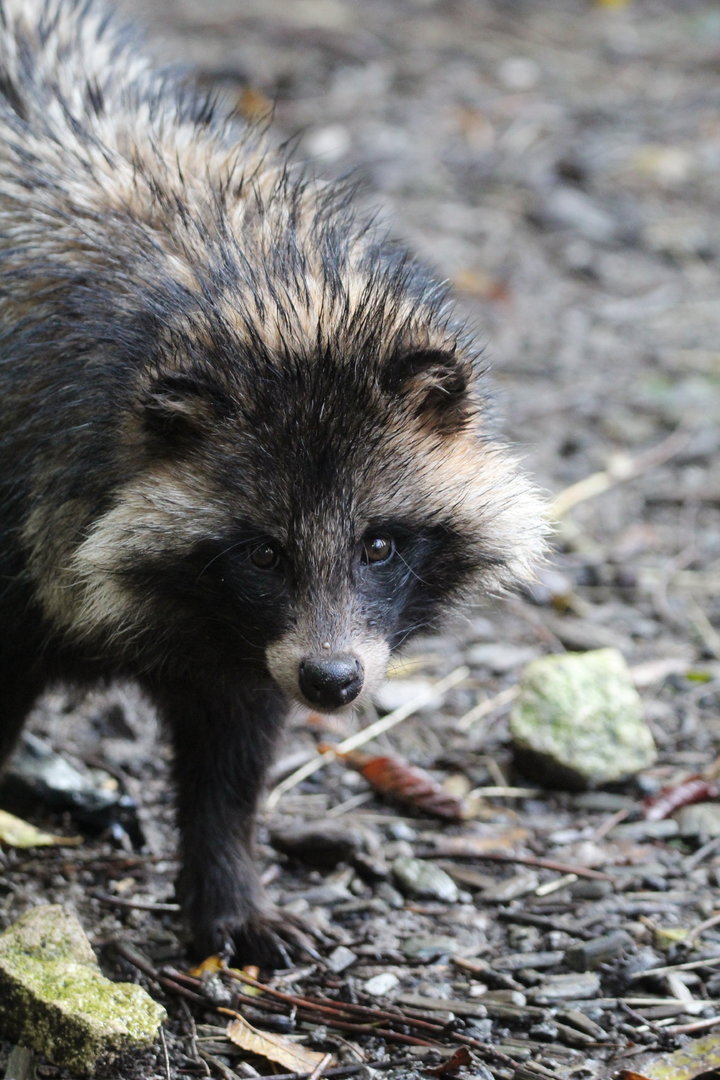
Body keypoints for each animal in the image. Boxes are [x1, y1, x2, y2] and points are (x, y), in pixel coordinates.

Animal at [0, 0, 546, 963]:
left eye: (379, 543)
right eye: (261, 552)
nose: (333, 682)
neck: (243, 281)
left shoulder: (253, 647)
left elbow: (233, 757)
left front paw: (227, 889)